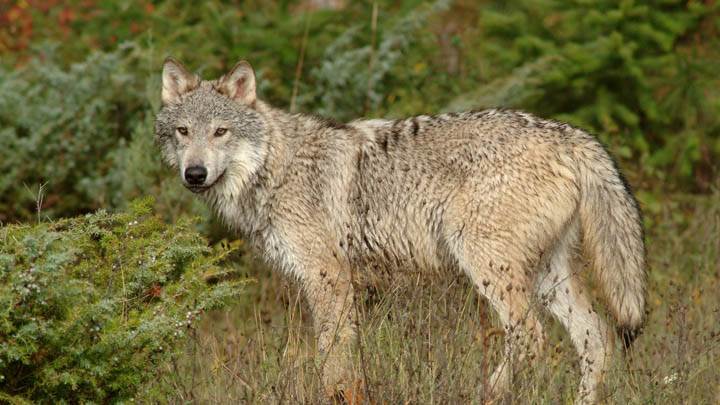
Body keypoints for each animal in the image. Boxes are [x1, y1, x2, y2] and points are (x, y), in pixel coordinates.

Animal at [154, 58, 646, 404]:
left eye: (221, 132)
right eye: (183, 132)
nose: (194, 174)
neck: (274, 167)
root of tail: (569, 134)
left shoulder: (329, 279)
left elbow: (331, 360)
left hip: (488, 266)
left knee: (531, 337)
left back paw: (490, 393)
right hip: (547, 278)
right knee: (597, 338)